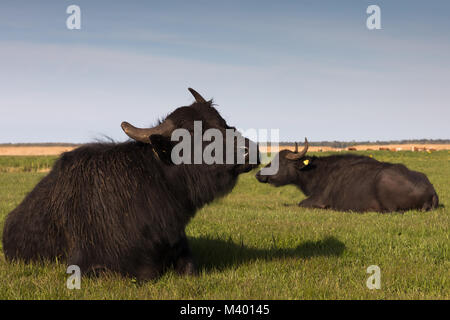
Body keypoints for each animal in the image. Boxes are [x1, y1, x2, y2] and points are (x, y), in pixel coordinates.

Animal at [256, 139, 440, 212]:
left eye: (279, 162)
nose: (259, 174)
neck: (316, 173)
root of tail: (430, 191)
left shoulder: (318, 200)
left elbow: (301, 203)